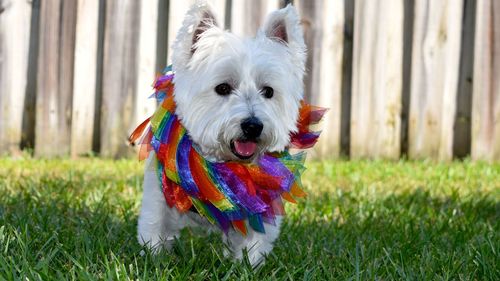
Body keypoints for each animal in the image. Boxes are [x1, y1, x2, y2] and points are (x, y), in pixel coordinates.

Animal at [138, 1, 308, 264]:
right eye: (223, 88)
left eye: (268, 91)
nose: (252, 125)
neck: (222, 164)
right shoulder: (158, 194)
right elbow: (154, 227)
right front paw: (154, 260)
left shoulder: (262, 203)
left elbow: (255, 241)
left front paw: (247, 265)